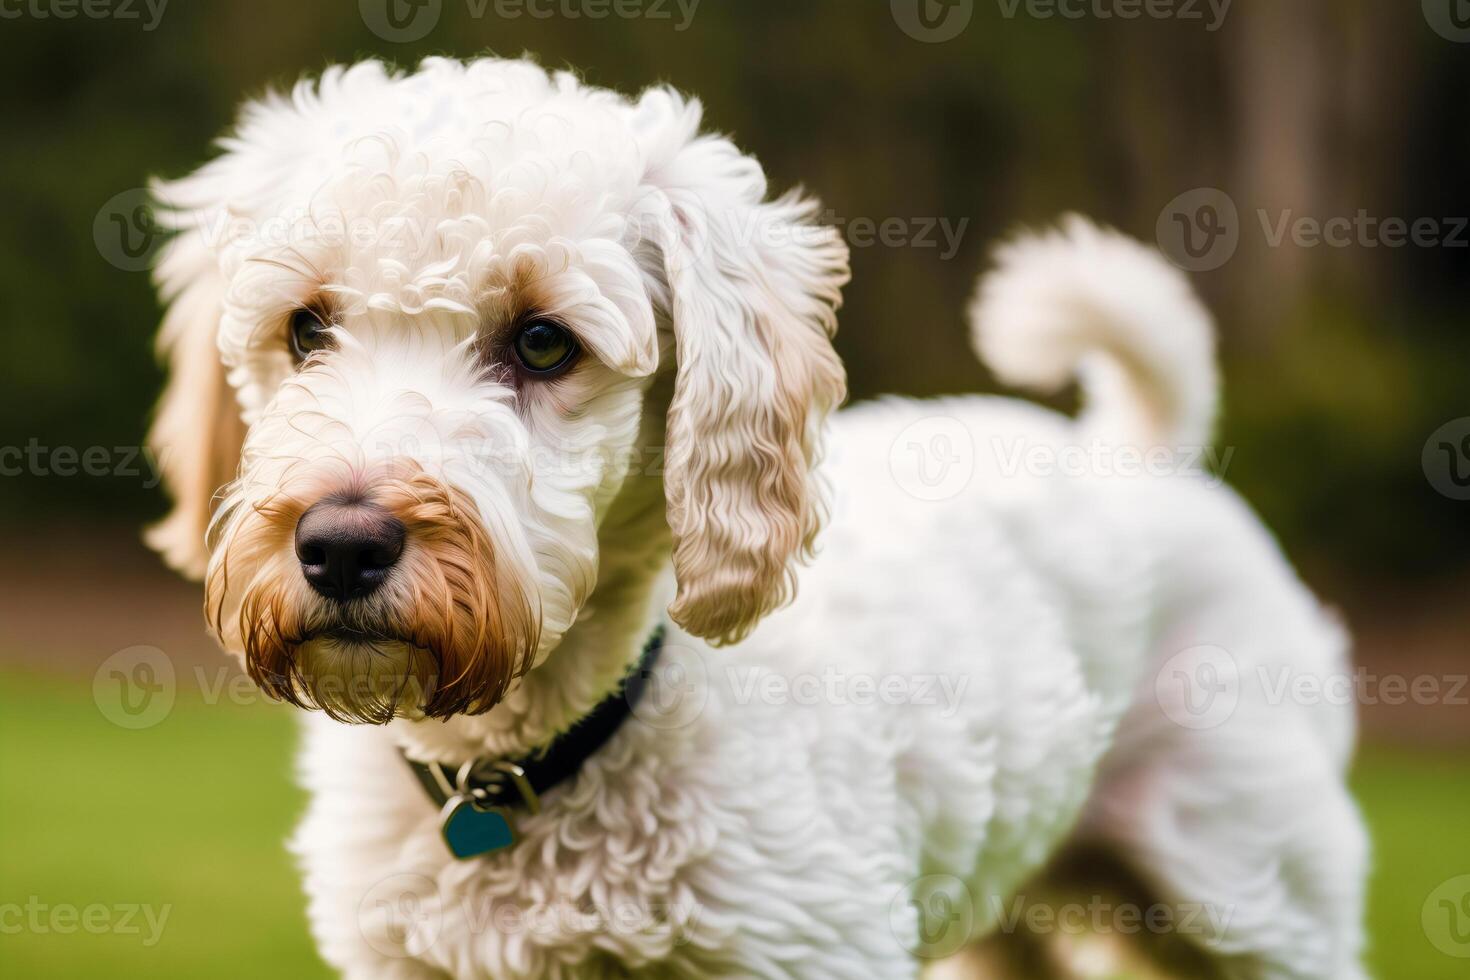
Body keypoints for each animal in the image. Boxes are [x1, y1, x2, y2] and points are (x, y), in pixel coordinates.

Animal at [146, 59, 1364, 980]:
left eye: (543, 342)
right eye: (306, 328)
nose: (340, 546)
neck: (534, 758)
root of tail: (1137, 451)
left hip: (1259, 894)